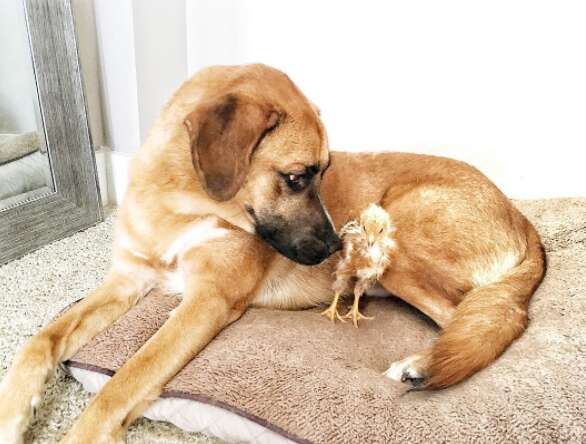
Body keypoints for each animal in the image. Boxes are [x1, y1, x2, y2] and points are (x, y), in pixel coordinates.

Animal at [0, 64, 544, 442]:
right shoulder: (124, 282)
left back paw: (423, 363)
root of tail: (524, 222)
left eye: (322, 173)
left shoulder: (207, 302)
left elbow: (127, 376)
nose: (338, 247)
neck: (176, 205)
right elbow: (40, 341)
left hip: (399, 242)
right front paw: (12, 414)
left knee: (489, 322)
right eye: (298, 177)